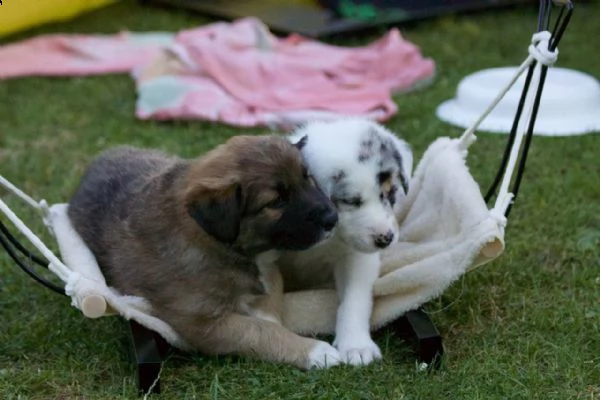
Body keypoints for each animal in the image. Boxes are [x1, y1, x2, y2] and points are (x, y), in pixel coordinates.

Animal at [65, 136, 342, 370]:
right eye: (277, 202)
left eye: (308, 178)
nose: (333, 218)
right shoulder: (202, 323)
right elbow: (259, 331)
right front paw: (315, 351)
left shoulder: (269, 269)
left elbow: (269, 306)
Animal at [280, 116, 412, 366]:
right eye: (350, 201)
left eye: (390, 192)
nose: (386, 239)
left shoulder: (357, 258)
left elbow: (355, 299)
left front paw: (357, 346)